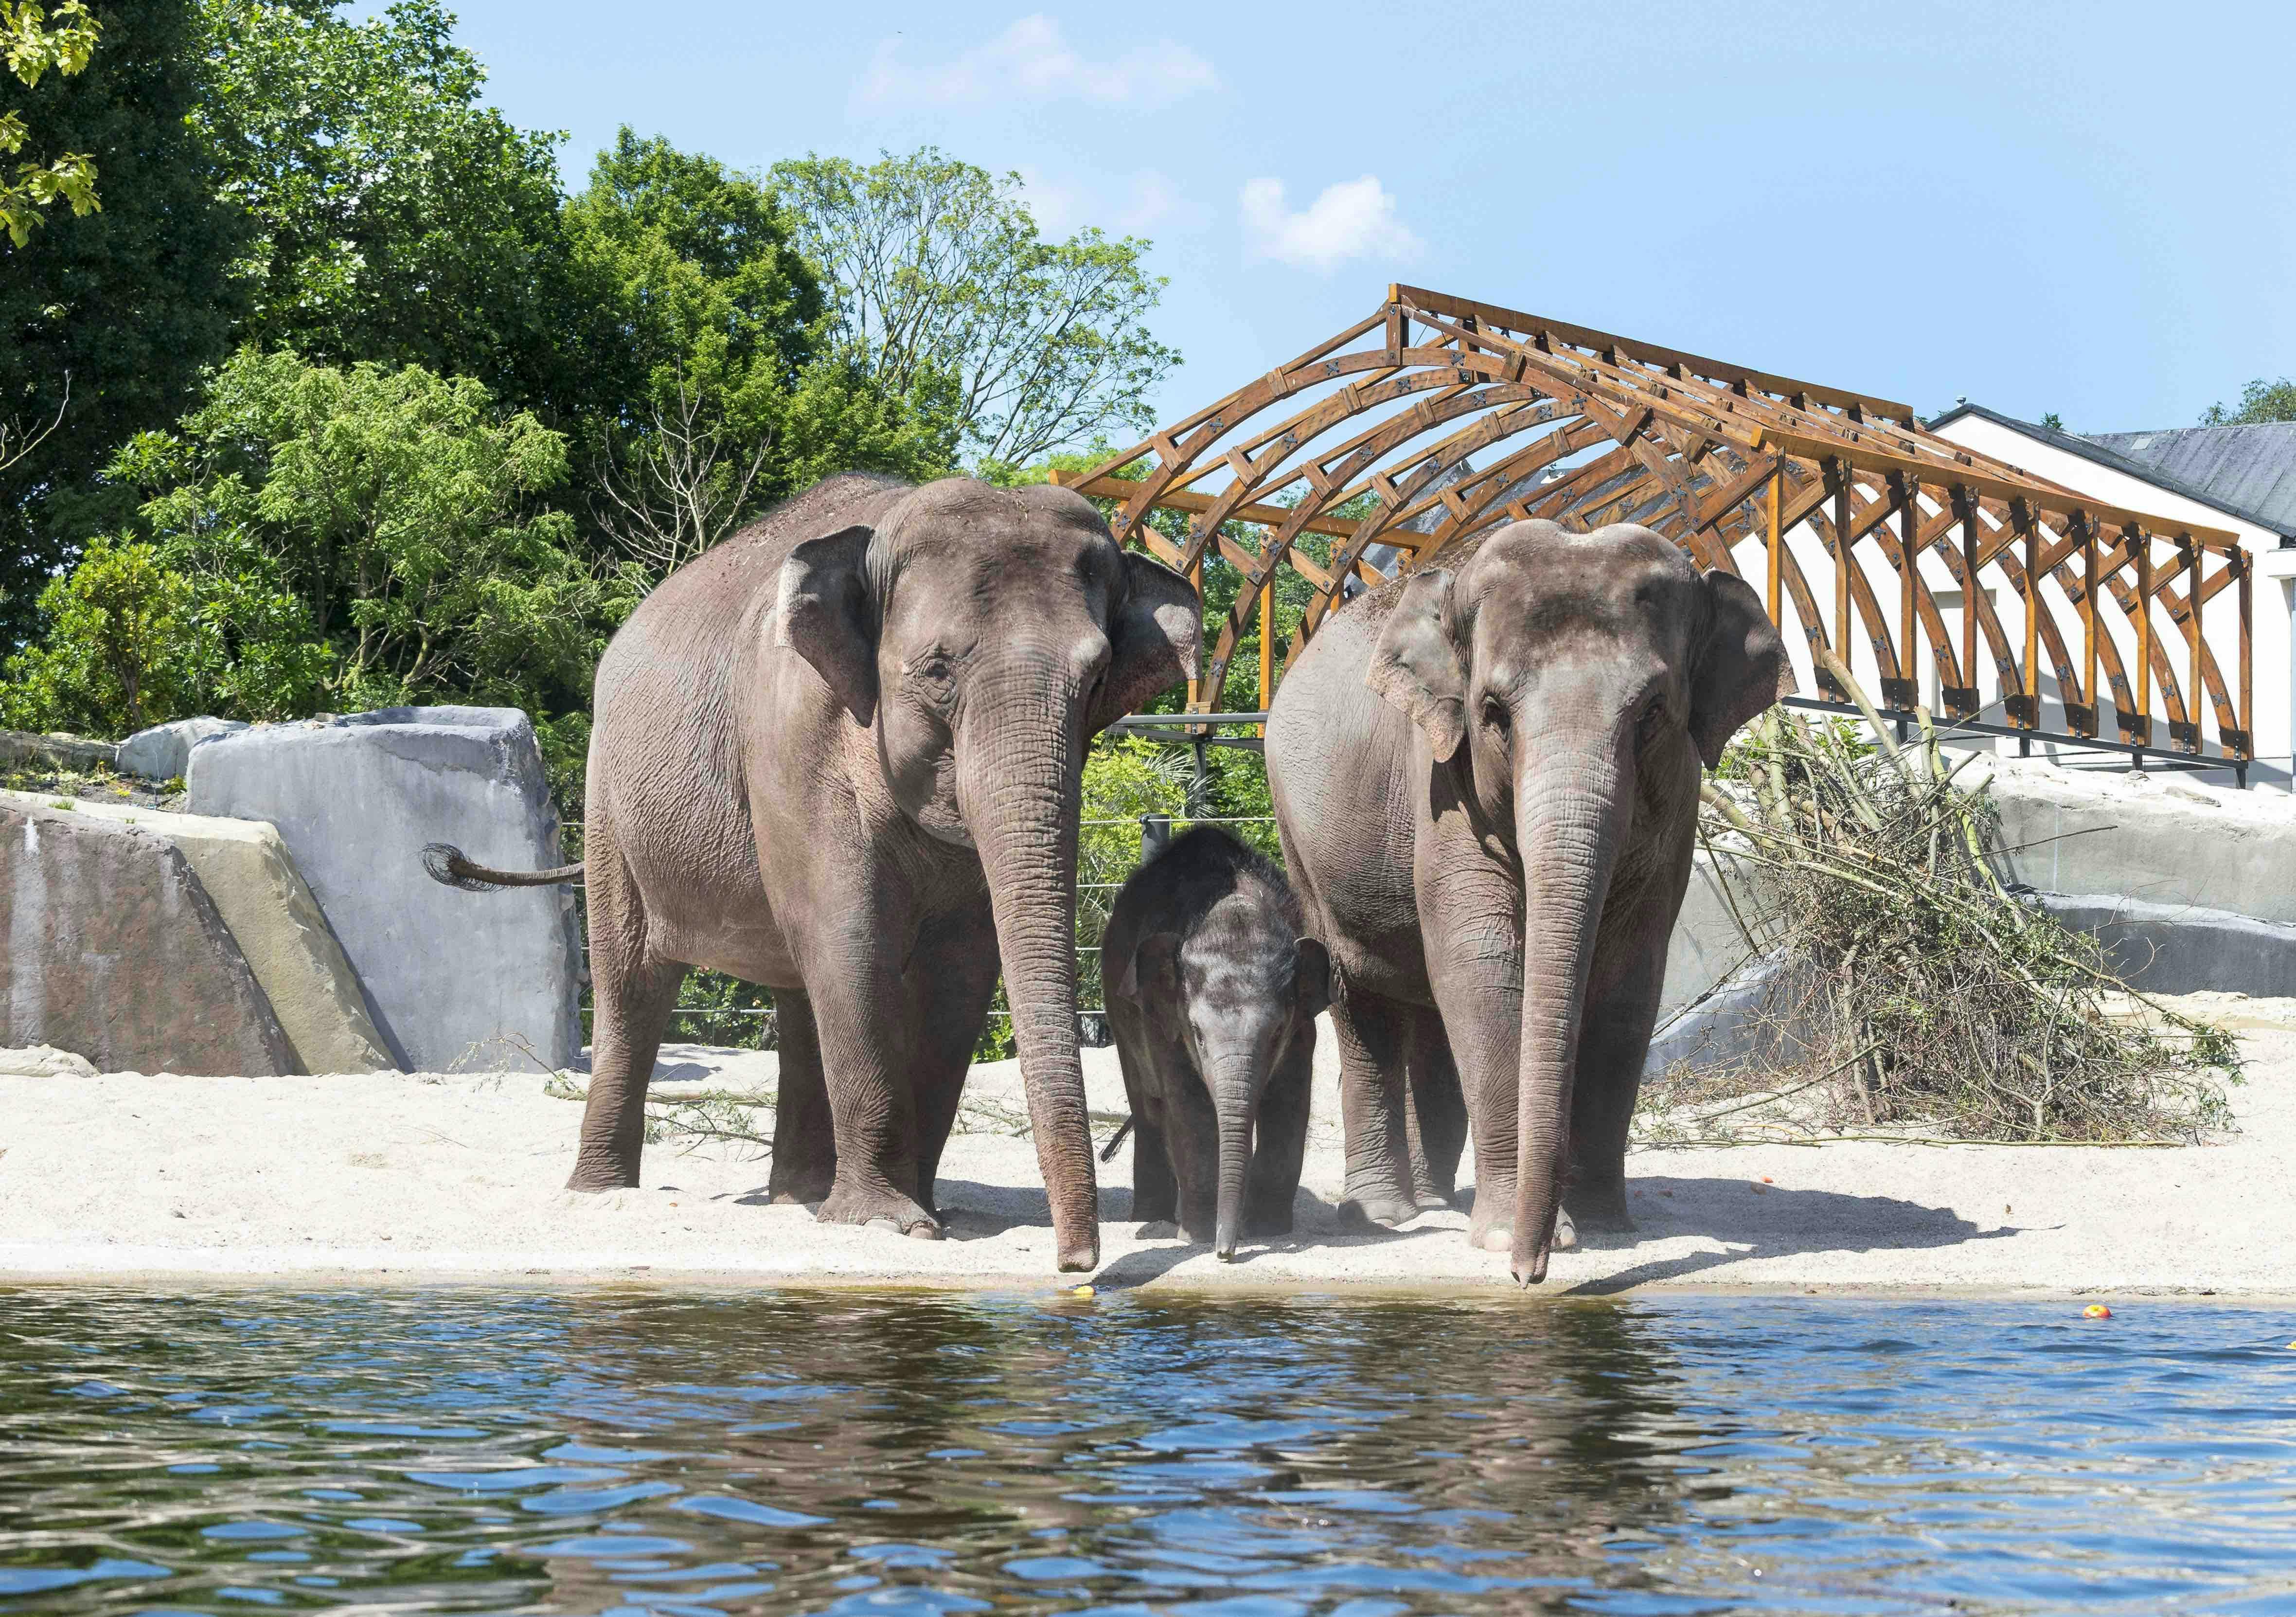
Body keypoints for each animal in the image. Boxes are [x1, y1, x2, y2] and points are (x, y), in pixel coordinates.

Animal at [431, 473, 1203, 1268]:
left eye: (1099, 675)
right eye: (937, 670)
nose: (1075, 1264)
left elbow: (961, 967)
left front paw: (922, 1215)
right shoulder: (793, 736)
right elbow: (850, 940)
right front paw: (888, 1223)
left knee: (798, 992)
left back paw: (798, 1198)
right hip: (611, 802)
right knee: (634, 985)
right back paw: (603, 1193)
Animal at [1097, 826, 1332, 1258]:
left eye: (1277, 1033)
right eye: (1198, 1034)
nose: (1227, 1253)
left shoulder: (1303, 1029)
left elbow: (1289, 1100)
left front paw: (1268, 1231)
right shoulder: (1166, 1025)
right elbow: (1189, 1109)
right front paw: (1199, 1238)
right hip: (1117, 1003)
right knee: (1148, 1108)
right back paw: (1148, 1218)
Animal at [1267, 523, 1781, 1286]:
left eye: (1653, 712)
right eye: (1492, 714)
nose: (1528, 1273)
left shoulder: (1678, 806)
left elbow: (1629, 977)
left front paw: (1605, 1230)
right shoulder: (1439, 781)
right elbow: (1480, 964)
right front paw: (1511, 1234)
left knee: (1428, 1014)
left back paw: (1436, 1200)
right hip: (1301, 840)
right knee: (1361, 995)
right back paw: (1385, 1215)